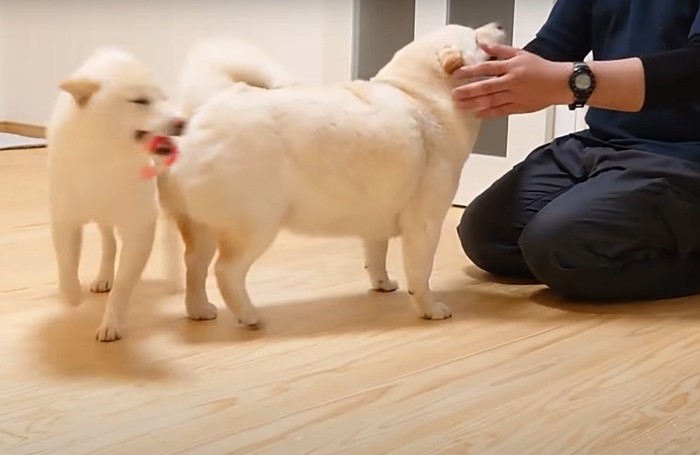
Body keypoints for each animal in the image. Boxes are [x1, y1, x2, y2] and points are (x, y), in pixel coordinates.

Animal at [47, 50, 187, 342]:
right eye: (140, 101)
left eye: (164, 98)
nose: (182, 121)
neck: (106, 156)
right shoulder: (65, 220)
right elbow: (67, 265)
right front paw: (72, 296)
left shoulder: (138, 230)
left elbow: (123, 285)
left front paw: (111, 321)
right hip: (103, 214)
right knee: (108, 242)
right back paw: (103, 277)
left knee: (170, 232)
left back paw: (175, 278)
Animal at [165, 23, 508, 328]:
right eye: (476, 39)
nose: (500, 24)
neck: (421, 97)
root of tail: (206, 107)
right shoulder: (424, 223)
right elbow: (420, 273)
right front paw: (429, 308)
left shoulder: (376, 217)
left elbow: (376, 254)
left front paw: (382, 283)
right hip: (255, 227)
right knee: (226, 271)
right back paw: (248, 315)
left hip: (201, 229)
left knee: (194, 266)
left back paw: (199, 309)